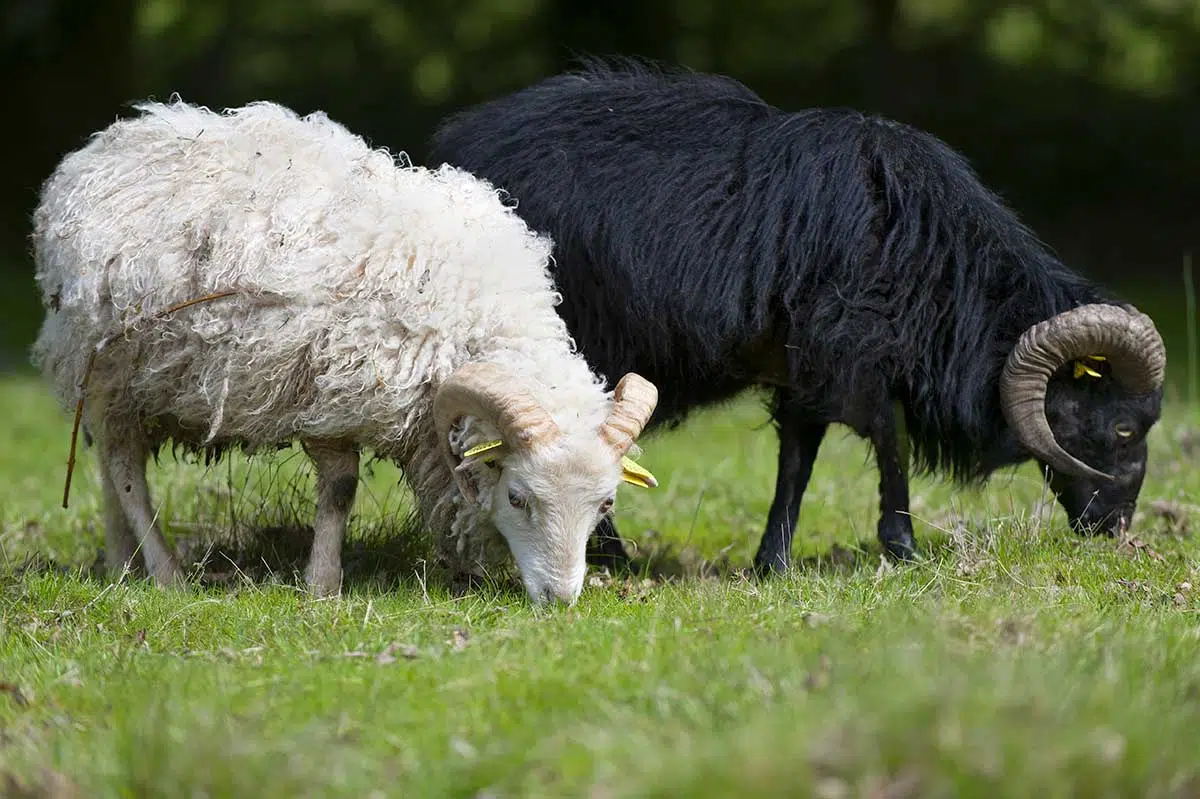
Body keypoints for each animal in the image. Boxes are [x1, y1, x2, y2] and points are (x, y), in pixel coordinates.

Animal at [30, 97, 667, 604]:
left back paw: (122, 565)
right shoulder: (327, 392)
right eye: (518, 497)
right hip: (109, 368)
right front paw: (322, 584)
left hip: (126, 387)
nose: (561, 599)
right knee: (125, 472)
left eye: (605, 506)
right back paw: (164, 574)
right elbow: (339, 490)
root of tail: (102, 148)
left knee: (113, 468)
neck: (470, 309)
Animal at [427, 63, 1166, 573]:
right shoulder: (850, 352)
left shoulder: (804, 363)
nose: (1116, 529)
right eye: (1123, 428)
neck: (943, 276)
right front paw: (903, 547)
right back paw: (610, 555)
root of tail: (452, 149)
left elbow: (798, 459)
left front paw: (772, 562)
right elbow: (889, 439)